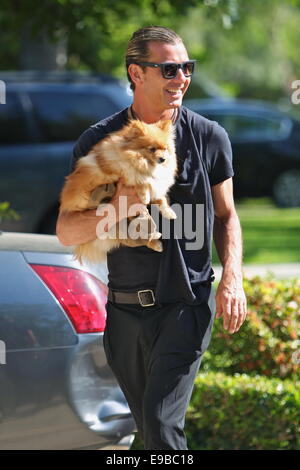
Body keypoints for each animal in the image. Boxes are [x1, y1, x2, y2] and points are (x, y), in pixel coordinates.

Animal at [60, 118, 178, 264]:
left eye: (165, 149)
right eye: (152, 149)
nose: (163, 159)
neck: (145, 163)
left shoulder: (156, 186)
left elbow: (160, 199)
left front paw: (169, 213)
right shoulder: (123, 173)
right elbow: (139, 181)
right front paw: (144, 195)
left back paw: (155, 242)